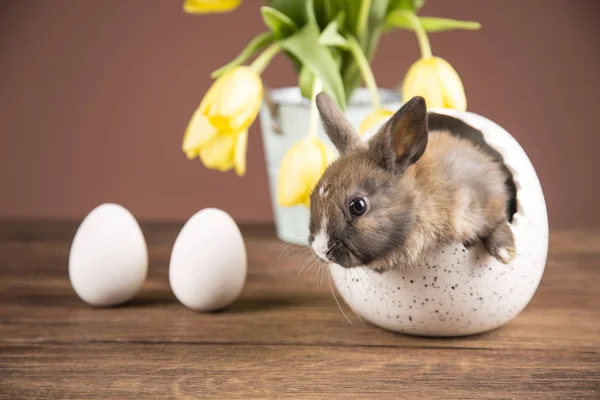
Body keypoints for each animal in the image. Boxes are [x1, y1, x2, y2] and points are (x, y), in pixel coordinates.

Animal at [310, 92, 516, 274]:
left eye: (358, 206)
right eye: (312, 197)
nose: (320, 249)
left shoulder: (485, 195)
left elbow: (497, 222)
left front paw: (505, 252)